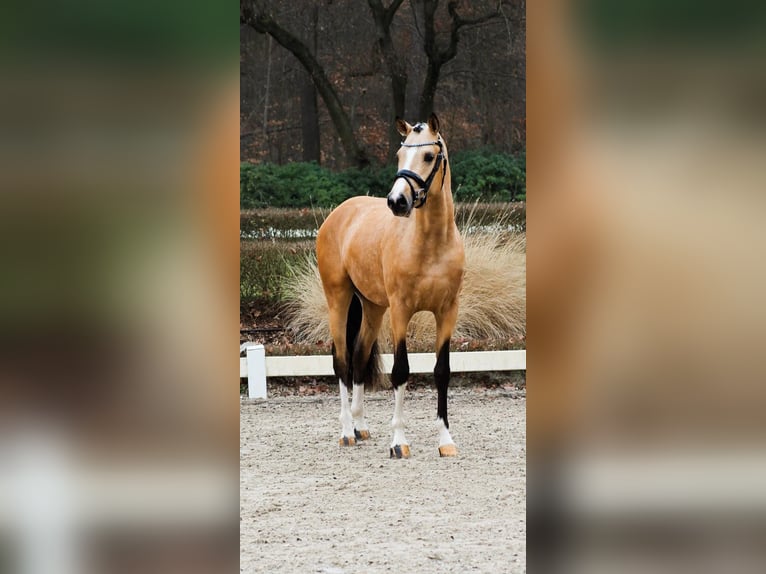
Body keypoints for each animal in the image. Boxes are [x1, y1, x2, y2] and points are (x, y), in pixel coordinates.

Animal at [316, 115, 464, 462]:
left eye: (428, 156)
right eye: (399, 155)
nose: (397, 202)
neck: (431, 244)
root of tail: (340, 213)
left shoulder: (447, 312)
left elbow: (442, 371)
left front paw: (446, 440)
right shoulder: (401, 311)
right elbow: (401, 370)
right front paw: (399, 442)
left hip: (372, 307)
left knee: (358, 357)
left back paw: (360, 426)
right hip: (339, 299)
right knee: (341, 360)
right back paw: (347, 432)